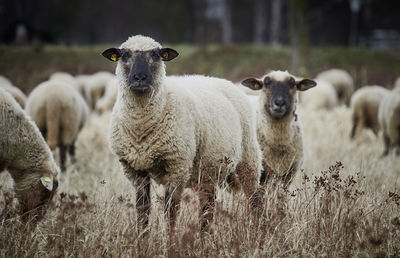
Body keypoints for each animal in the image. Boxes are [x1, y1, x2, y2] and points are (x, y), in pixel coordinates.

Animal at [101, 35, 260, 225]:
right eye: (124, 55)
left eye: (156, 55)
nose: (140, 77)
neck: (141, 126)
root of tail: (225, 81)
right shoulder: (135, 170)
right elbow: (142, 209)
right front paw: (141, 234)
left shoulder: (177, 166)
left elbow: (171, 210)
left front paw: (170, 235)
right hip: (208, 169)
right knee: (208, 205)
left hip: (248, 159)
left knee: (254, 197)